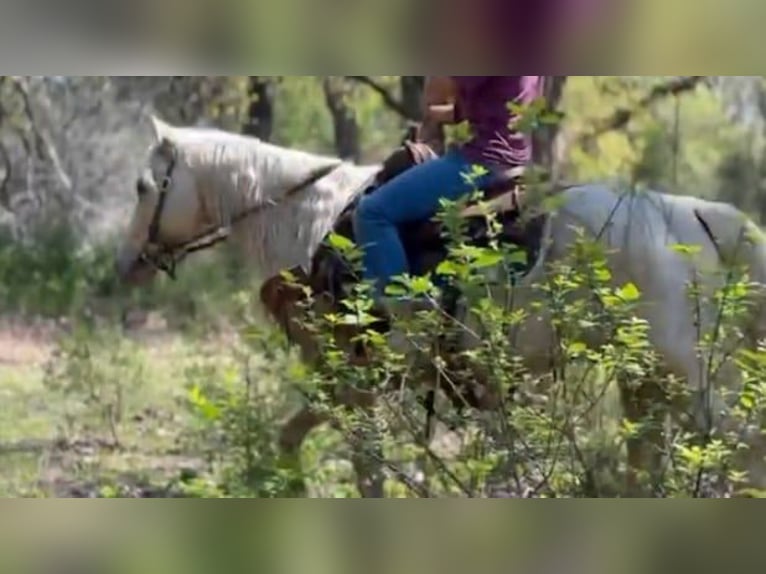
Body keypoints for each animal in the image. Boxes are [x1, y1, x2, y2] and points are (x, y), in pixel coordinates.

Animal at [116, 115, 766, 497]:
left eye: (144, 188)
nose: (127, 265)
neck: (310, 224)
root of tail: (693, 215)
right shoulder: (353, 383)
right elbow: (292, 438)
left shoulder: (353, 382)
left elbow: (366, 469)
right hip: (644, 381)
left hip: (685, 379)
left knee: (740, 447)